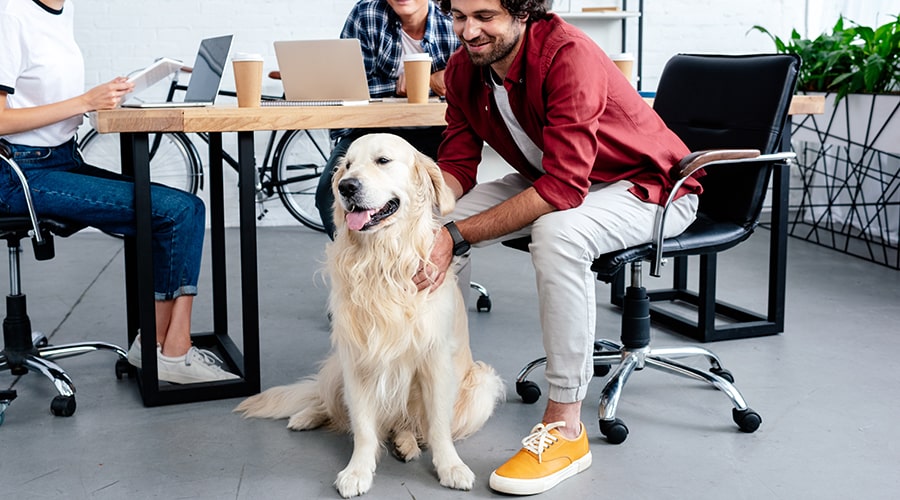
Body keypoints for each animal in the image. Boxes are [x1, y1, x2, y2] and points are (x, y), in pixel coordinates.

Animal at [234, 135, 506, 498]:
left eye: (383, 161)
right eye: (347, 165)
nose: (346, 187)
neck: (382, 260)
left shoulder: (435, 361)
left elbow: (437, 425)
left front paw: (451, 466)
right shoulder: (357, 360)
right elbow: (363, 426)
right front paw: (357, 471)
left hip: (482, 386)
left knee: (409, 424)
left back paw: (407, 442)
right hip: (336, 367)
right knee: (328, 402)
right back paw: (306, 416)